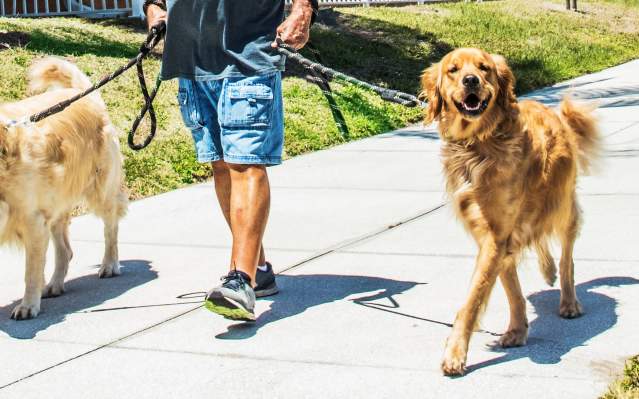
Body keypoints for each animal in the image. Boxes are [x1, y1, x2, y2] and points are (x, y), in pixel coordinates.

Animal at [0, 57, 129, 320]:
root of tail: (82, 93)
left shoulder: (32, 220)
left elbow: (31, 271)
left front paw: (28, 305)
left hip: (102, 191)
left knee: (111, 228)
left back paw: (110, 264)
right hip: (56, 203)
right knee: (65, 250)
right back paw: (54, 285)